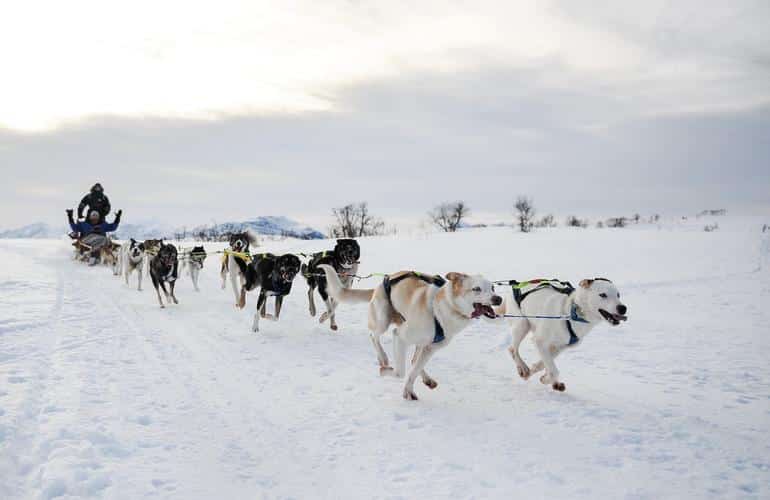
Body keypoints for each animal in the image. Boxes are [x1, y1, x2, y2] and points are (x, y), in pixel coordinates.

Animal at [316, 266, 500, 402]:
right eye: (476, 289)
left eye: (492, 288)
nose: (498, 299)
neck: (442, 308)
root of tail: (382, 282)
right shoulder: (400, 336)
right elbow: (401, 372)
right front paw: (386, 373)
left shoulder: (431, 348)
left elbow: (413, 371)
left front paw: (409, 391)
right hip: (382, 321)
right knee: (373, 336)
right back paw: (383, 358)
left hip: (418, 342)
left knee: (413, 360)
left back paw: (426, 379)